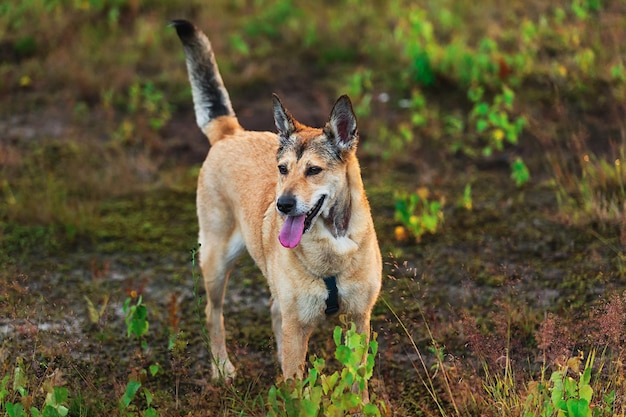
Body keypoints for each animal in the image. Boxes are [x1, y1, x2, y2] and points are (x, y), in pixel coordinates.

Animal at [169, 19, 380, 384]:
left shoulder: (358, 320)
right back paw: (221, 367)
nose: (282, 205)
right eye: (282, 169)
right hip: (216, 261)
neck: (332, 242)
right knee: (213, 313)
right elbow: (299, 384)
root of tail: (232, 133)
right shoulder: (298, 326)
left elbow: (356, 382)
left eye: (313, 170)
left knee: (272, 311)